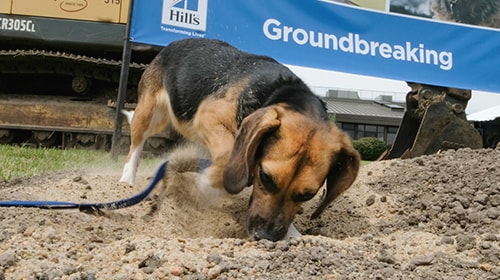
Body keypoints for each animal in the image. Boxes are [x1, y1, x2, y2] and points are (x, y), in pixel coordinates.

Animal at [120, 38, 360, 242]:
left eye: (308, 194)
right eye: (265, 177)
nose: (266, 237)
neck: (280, 93)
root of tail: (174, 43)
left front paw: (293, 234)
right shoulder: (208, 116)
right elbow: (228, 154)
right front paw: (207, 184)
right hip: (150, 114)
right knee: (136, 145)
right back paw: (128, 179)